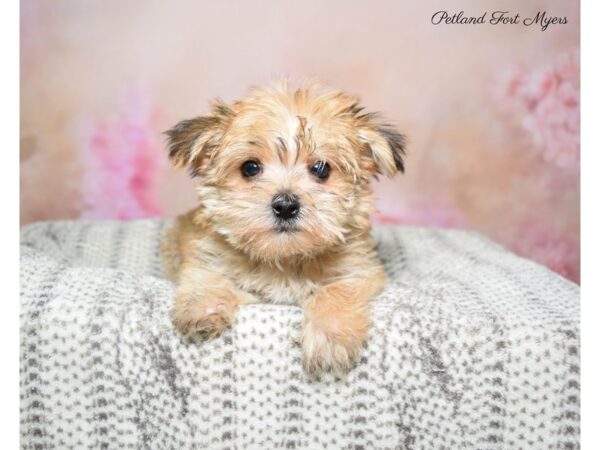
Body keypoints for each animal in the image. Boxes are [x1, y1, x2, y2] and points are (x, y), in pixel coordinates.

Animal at [162, 82, 406, 374]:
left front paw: (329, 338)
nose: (286, 206)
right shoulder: (205, 255)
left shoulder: (360, 270)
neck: (284, 258)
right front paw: (203, 308)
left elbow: (334, 292)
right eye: (250, 168)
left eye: (321, 169)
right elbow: (206, 278)